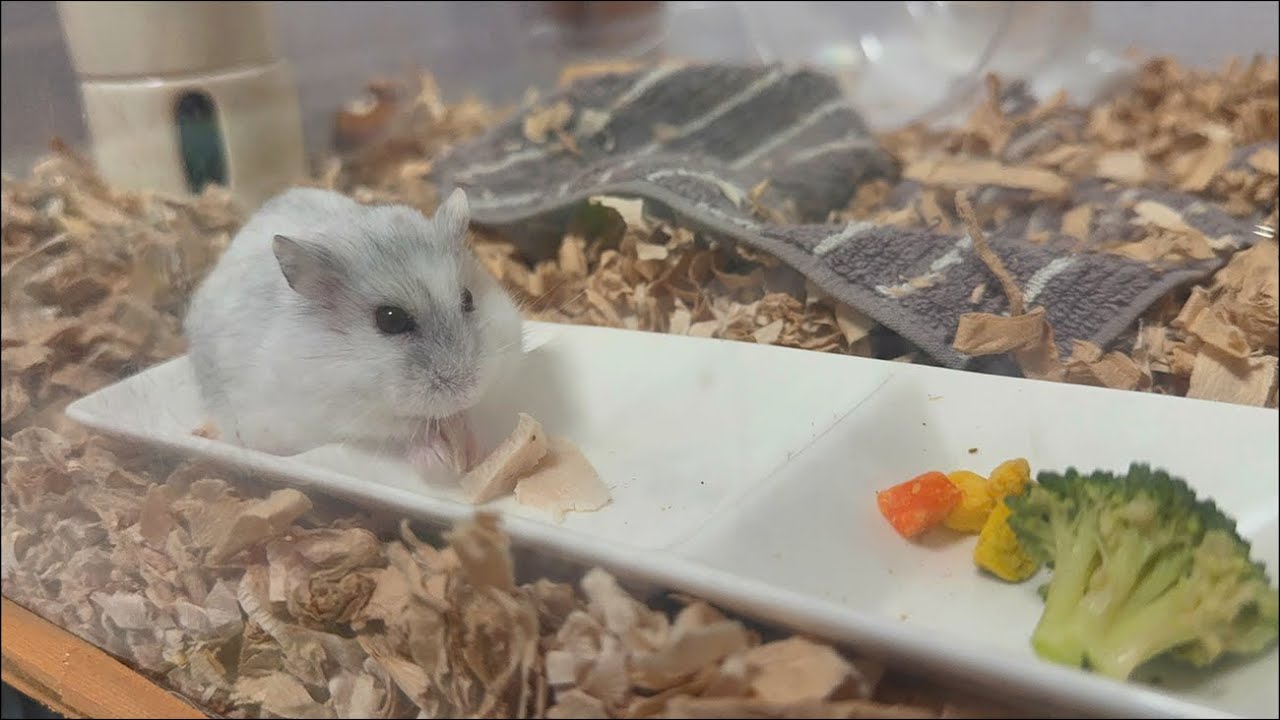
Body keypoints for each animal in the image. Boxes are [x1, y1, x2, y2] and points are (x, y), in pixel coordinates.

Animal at [182, 186, 524, 473]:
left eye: (468, 299)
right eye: (390, 319)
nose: (469, 390)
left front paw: (472, 447)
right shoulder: (342, 413)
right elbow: (407, 429)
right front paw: (439, 456)